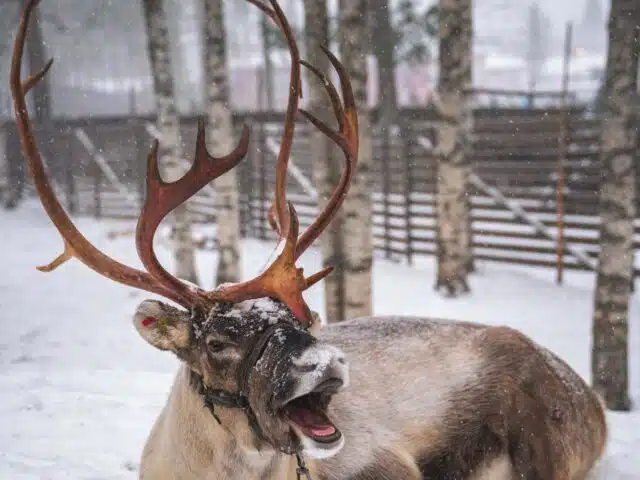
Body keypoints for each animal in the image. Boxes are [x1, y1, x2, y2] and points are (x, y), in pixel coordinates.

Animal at [11, 1, 608, 479]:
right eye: (217, 341)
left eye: (302, 318)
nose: (327, 361)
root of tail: (593, 405)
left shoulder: (388, 464)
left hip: (540, 441)